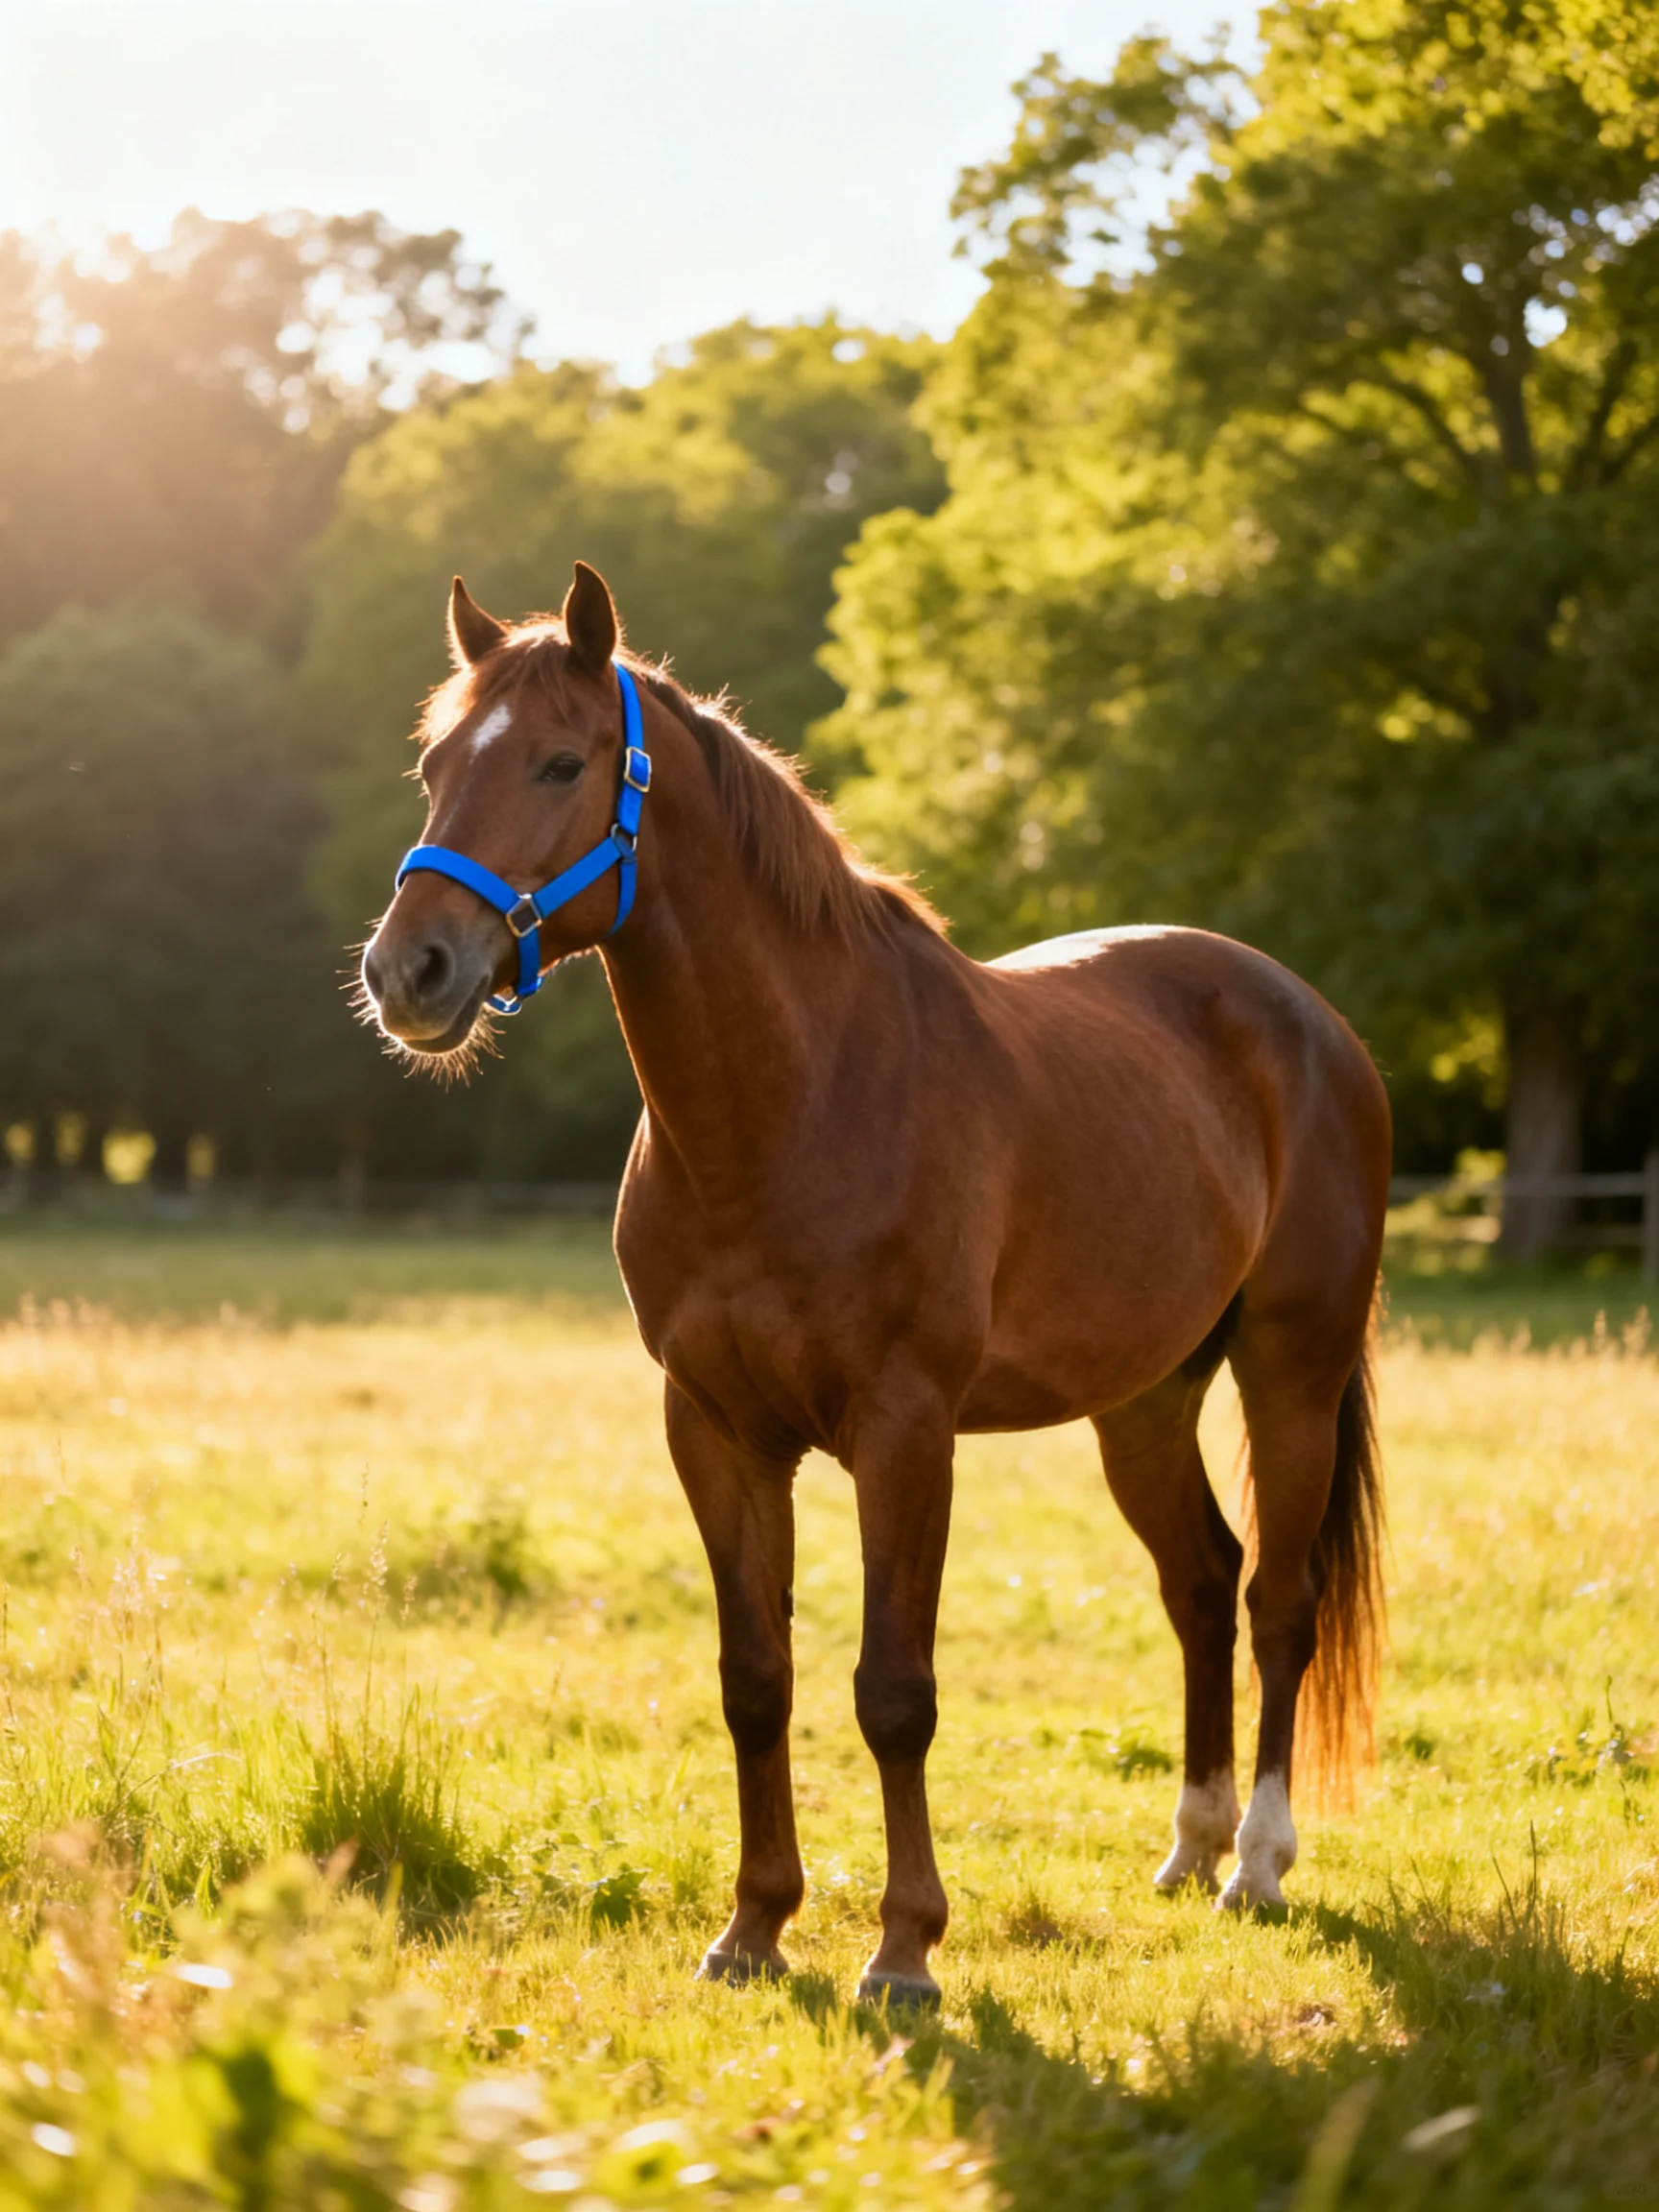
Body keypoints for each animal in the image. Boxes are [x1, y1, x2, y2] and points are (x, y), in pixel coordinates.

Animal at [361, 562, 1390, 2006]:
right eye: (436, 766)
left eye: (562, 762)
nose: (411, 972)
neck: (794, 1103)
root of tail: (1311, 1022)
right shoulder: (717, 1430)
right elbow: (757, 1677)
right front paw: (752, 1929)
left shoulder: (906, 1432)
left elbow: (894, 1692)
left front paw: (903, 1952)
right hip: (1143, 1403)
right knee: (1200, 1583)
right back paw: (1188, 1849)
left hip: (1290, 1372)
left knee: (1277, 1602)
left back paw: (1256, 1863)